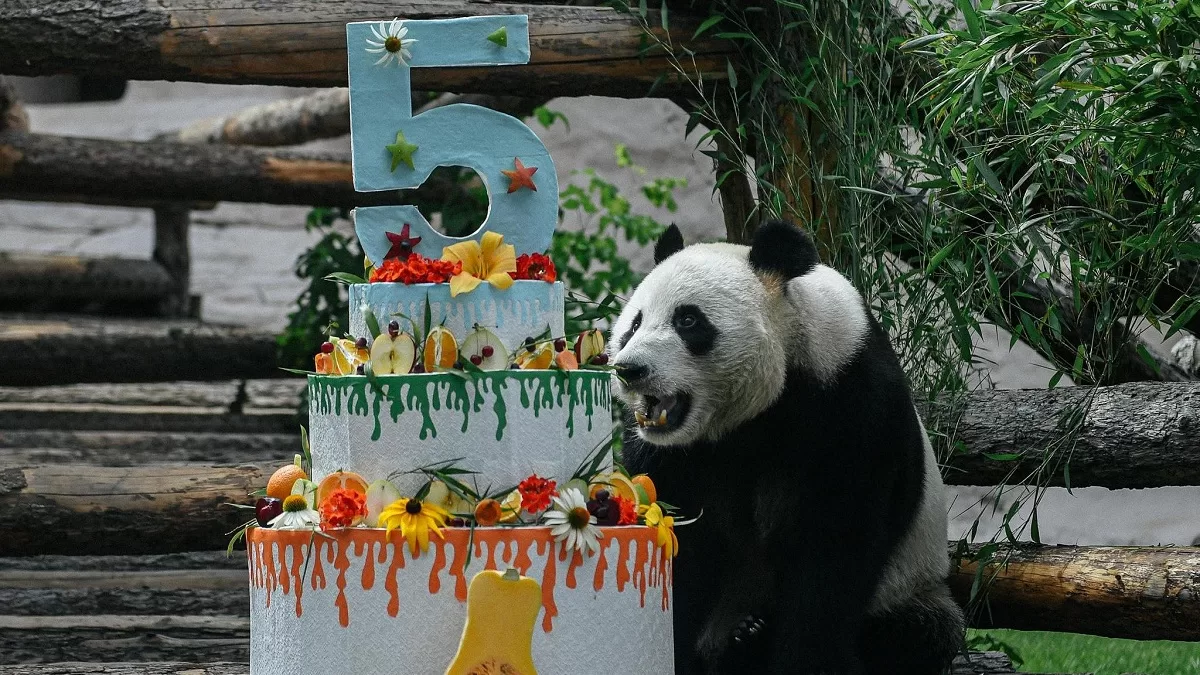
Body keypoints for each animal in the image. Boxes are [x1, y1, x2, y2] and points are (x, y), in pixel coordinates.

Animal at [609, 220, 965, 675]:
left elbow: (832, 550)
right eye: (635, 323)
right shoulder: (672, 455)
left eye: (688, 320)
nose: (630, 369)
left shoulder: (849, 404)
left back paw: (748, 640)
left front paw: (806, 660)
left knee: (918, 634)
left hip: (912, 585)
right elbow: (679, 545)